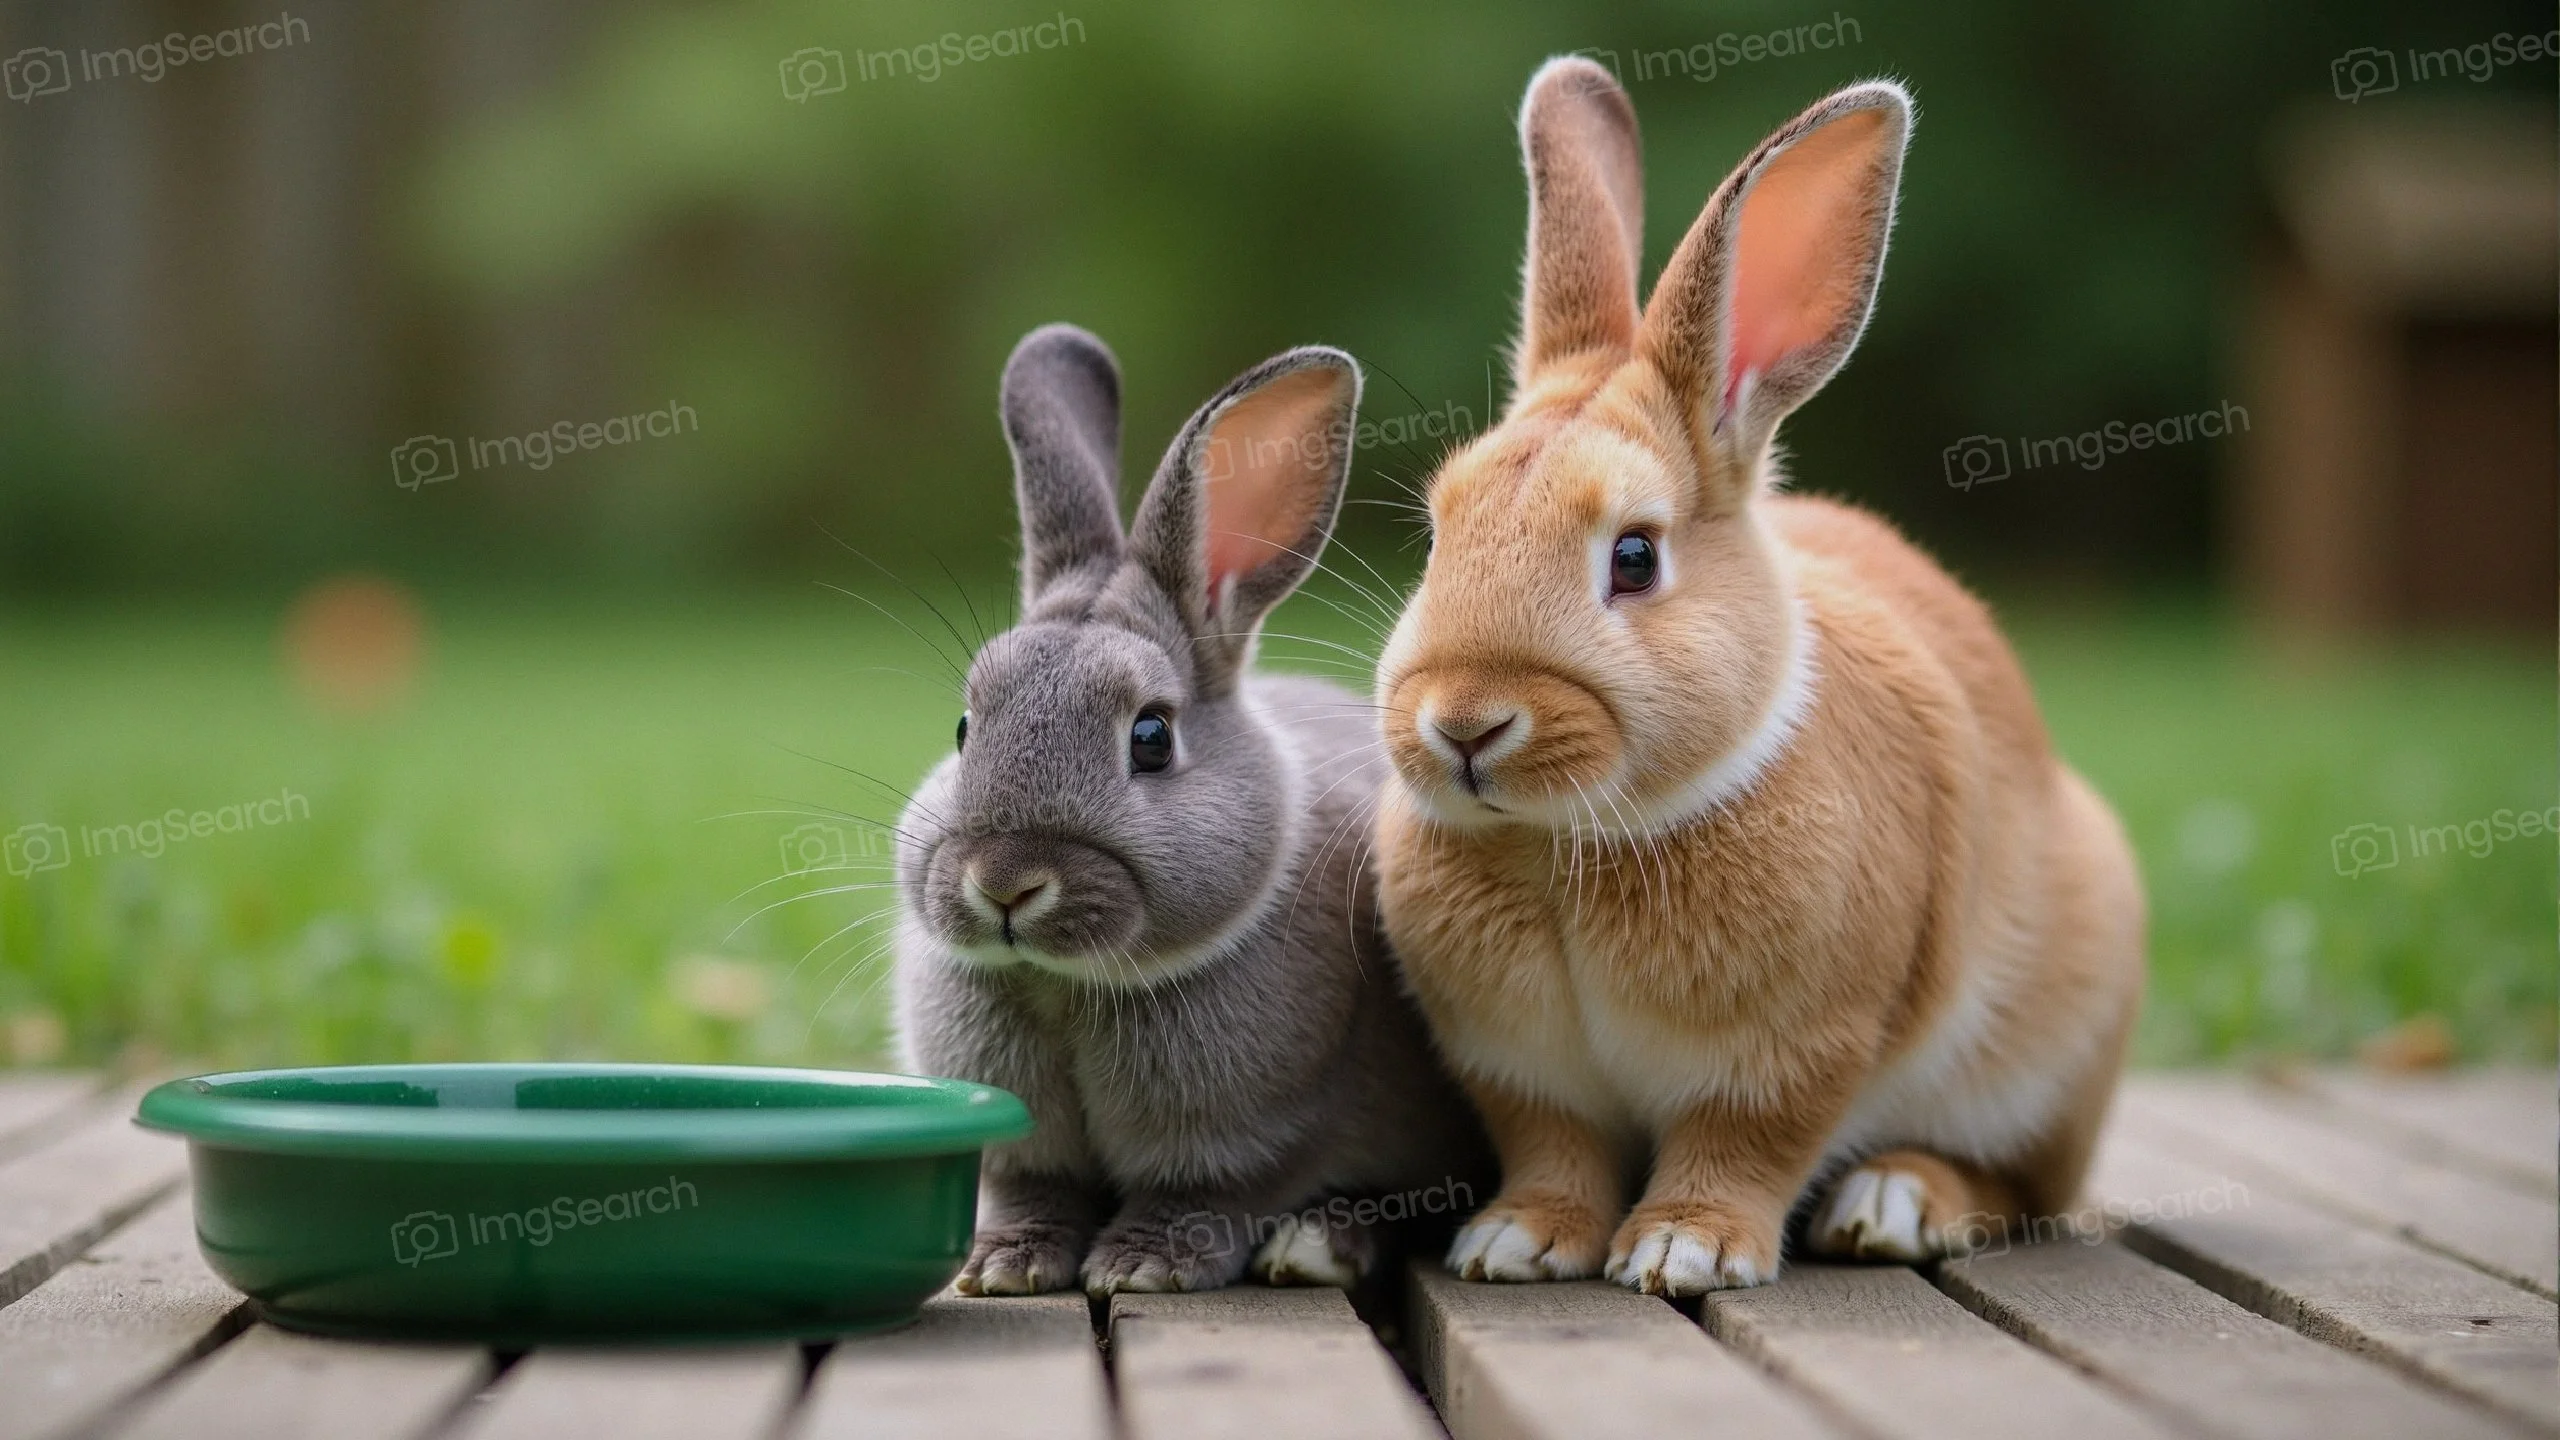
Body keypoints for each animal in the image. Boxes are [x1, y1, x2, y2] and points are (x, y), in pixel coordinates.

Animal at [894, 324, 1489, 1297]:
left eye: (1151, 737)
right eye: (964, 726)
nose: (1006, 884)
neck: (1067, 986)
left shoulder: (1261, 1134)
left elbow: (1209, 1196)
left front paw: (1142, 1267)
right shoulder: (1028, 1150)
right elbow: (1033, 1190)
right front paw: (1005, 1265)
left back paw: (1320, 1245)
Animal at [1369, 59, 2146, 1297]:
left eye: (1633, 558)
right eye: (1440, 533)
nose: (1465, 725)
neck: (1566, 844)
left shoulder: (1796, 1051)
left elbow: (1745, 1144)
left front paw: (1682, 1250)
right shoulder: (1522, 1073)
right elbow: (1554, 1149)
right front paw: (1517, 1242)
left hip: (2051, 1051)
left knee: (2023, 1188)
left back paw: (1894, 1204)